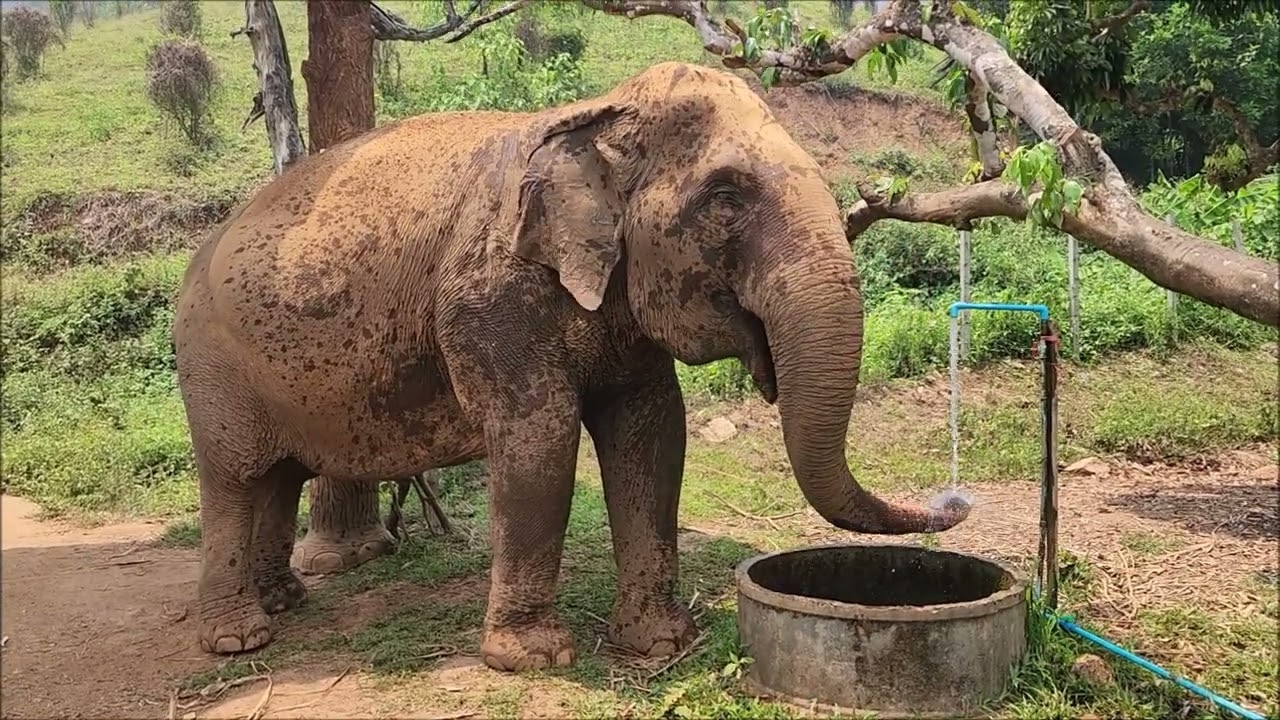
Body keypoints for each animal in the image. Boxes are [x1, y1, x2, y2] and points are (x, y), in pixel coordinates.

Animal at [172, 61, 972, 672]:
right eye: (725, 199)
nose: (955, 502)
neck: (593, 117)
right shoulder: (490, 298)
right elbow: (542, 440)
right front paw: (534, 658)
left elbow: (653, 433)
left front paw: (661, 643)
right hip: (210, 364)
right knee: (235, 478)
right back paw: (239, 639)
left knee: (277, 477)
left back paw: (283, 600)